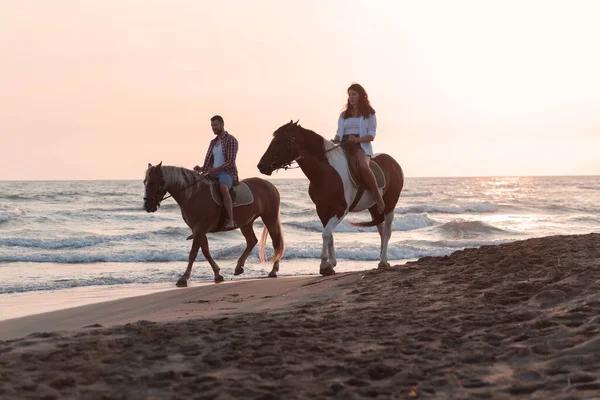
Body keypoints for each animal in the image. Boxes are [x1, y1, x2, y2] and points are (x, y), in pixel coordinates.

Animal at [145, 164, 286, 286]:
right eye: (145, 182)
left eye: (153, 183)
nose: (147, 206)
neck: (193, 194)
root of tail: (271, 186)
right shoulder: (198, 230)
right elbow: (205, 252)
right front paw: (217, 274)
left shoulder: (200, 229)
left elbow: (193, 253)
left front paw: (183, 278)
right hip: (246, 223)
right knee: (252, 241)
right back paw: (239, 267)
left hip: (269, 218)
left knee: (276, 242)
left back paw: (273, 271)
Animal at [256, 122, 404, 276]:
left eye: (279, 141)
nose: (261, 166)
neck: (326, 173)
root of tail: (393, 163)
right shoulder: (322, 209)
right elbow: (330, 235)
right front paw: (331, 264)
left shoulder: (340, 210)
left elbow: (326, 233)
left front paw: (324, 265)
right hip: (373, 206)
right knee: (381, 229)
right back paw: (383, 259)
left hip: (390, 204)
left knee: (387, 231)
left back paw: (383, 261)